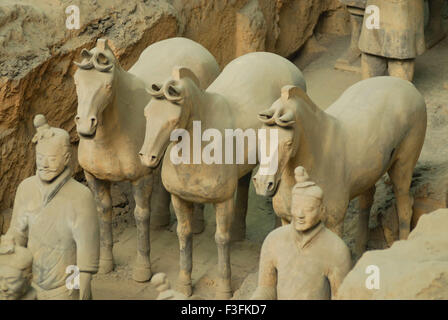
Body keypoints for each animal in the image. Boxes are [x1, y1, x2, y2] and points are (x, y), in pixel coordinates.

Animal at [73, 37, 220, 282]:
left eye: (107, 86)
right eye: (76, 83)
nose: (85, 126)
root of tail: (190, 42)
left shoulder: (140, 178)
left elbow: (141, 216)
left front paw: (142, 270)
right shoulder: (93, 176)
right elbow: (103, 214)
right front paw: (105, 264)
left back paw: (197, 224)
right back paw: (161, 219)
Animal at [140, 51, 306, 298]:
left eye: (173, 121)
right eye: (147, 113)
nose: (146, 157)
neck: (197, 148)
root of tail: (275, 57)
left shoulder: (223, 200)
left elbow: (221, 239)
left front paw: (224, 288)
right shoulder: (179, 198)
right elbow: (184, 235)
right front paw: (184, 284)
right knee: (245, 180)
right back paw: (239, 230)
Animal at [252, 77, 428, 258]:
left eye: (288, 143)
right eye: (260, 137)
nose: (263, 184)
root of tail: (405, 83)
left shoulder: (334, 222)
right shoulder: (287, 220)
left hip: (403, 165)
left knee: (404, 204)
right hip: (368, 173)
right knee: (367, 202)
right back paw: (359, 251)